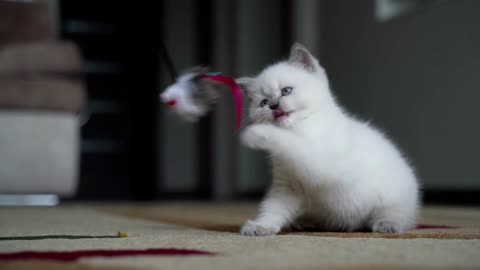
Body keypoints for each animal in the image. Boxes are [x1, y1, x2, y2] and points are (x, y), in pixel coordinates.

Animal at [238, 43, 418, 235]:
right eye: (263, 102)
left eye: (286, 91)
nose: (273, 106)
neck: (299, 128)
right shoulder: (287, 187)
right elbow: (273, 209)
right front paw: (261, 226)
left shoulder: (324, 167)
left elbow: (291, 144)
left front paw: (255, 133)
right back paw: (307, 222)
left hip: (393, 198)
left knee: (399, 215)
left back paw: (388, 224)